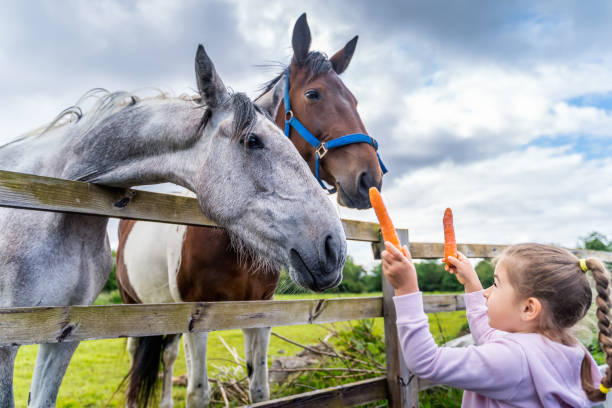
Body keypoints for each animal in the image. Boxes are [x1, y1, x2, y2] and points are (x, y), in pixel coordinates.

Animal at [116, 13, 382, 408]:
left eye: (355, 99)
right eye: (313, 94)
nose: (369, 177)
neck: (230, 245)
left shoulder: (259, 314)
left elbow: (260, 388)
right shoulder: (196, 317)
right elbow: (198, 392)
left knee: (166, 355)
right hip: (133, 304)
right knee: (139, 354)